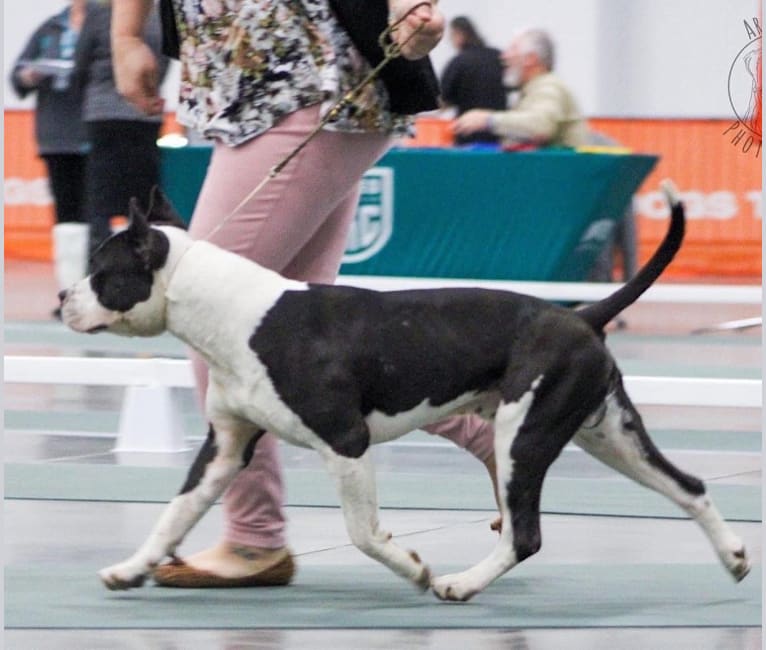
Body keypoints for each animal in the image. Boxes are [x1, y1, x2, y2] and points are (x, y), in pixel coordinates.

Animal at [58, 181, 752, 596]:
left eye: (102, 272)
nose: (62, 297)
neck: (229, 314)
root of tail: (581, 315)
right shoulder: (224, 448)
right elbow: (173, 515)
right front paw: (131, 568)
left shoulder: (346, 443)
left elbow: (364, 532)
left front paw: (414, 569)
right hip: (609, 435)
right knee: (687, 487)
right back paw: (734, 557)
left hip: (525, 436)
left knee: (526, 534)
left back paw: (462, 583)